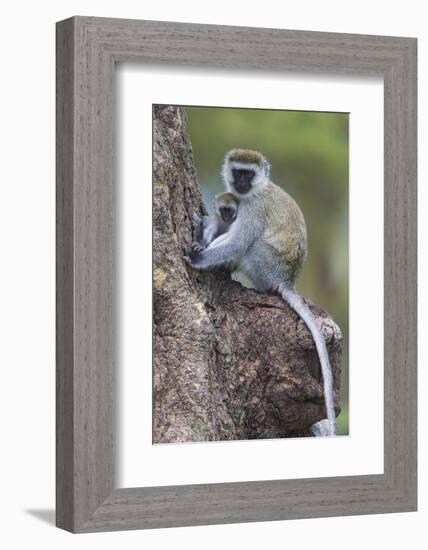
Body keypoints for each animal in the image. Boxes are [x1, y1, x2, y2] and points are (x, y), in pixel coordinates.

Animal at [187, 149, 338, 438]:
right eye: (238, 172)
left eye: (249, 174)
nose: (240, 183)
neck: (255, 192)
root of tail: (285, 280)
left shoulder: (253, 209)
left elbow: (238, 241)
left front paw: (198, 257)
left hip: (264, 264)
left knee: (250, 245)